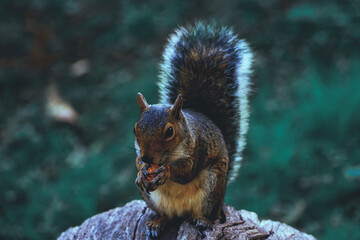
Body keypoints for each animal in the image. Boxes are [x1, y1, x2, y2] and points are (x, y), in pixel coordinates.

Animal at [133, 21, 253, 239]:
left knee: (209, 213)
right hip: (152, 199)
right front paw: (141, 172)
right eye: (135, 128)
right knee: (167, 216)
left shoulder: (199, 149)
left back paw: (203, 220)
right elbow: (137, 162)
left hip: (212, 187)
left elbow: (186, 172)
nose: (147, 159)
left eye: (169, 131)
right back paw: (156, 223)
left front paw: (165, 171)